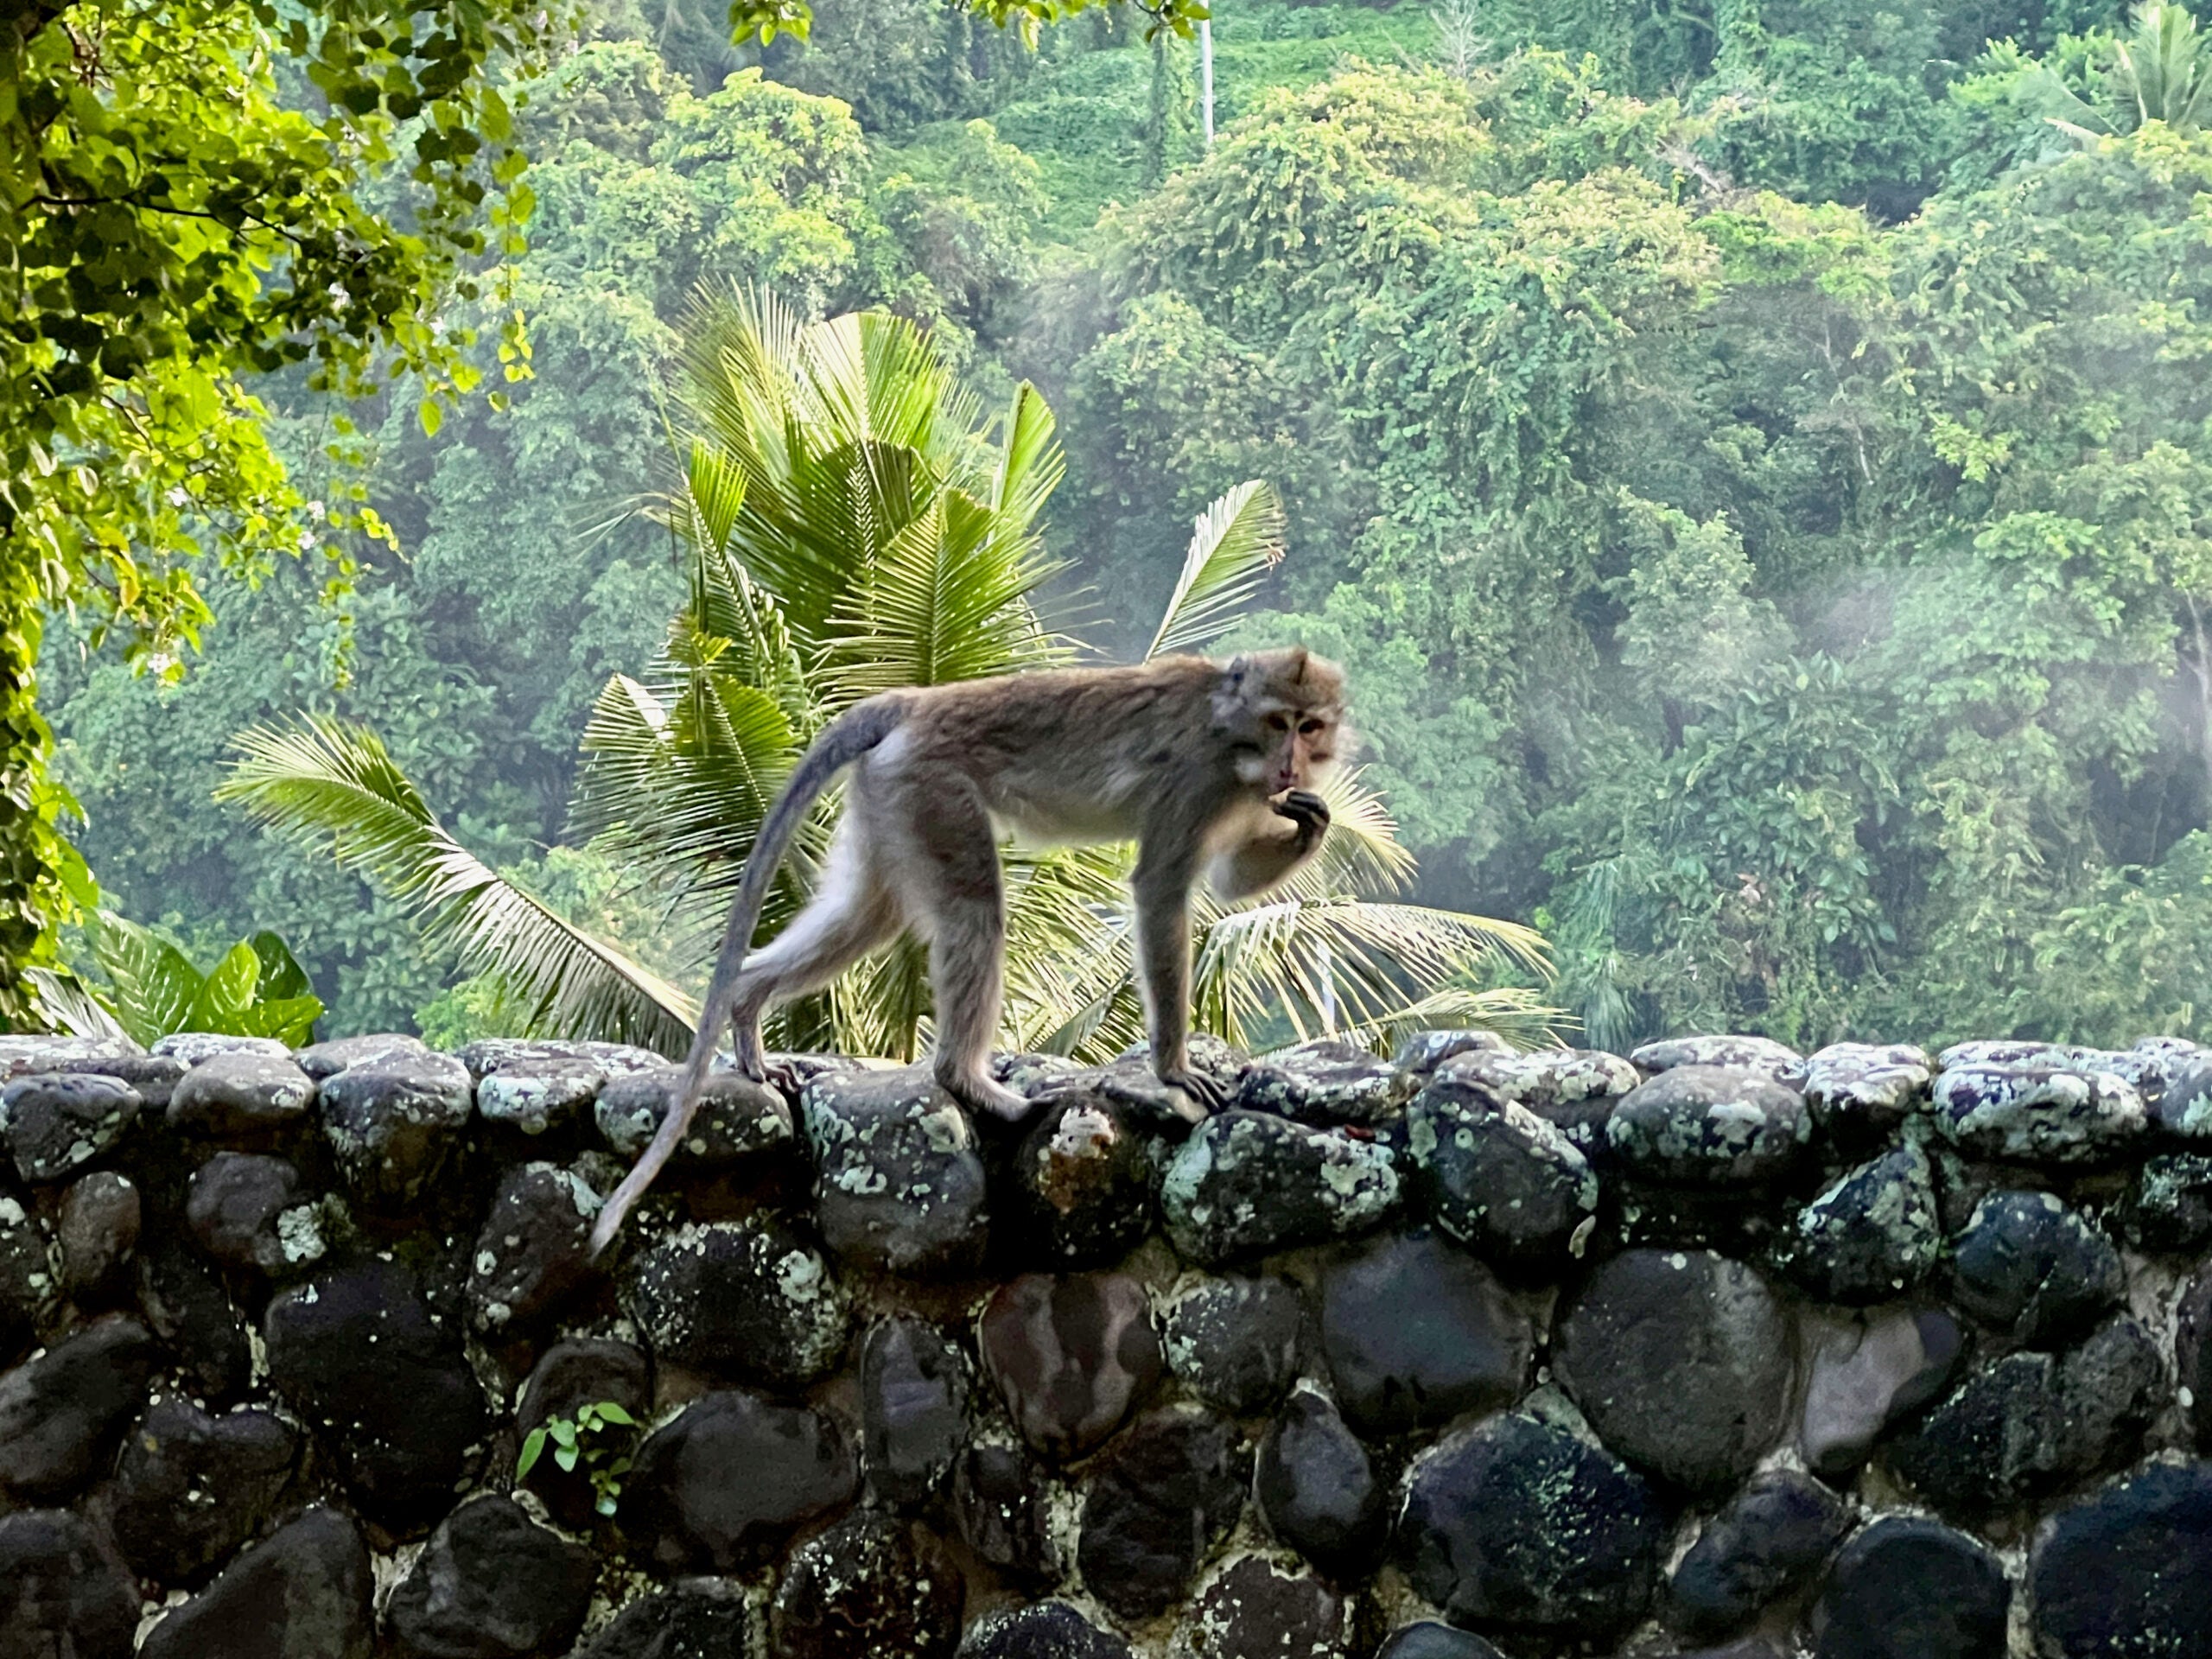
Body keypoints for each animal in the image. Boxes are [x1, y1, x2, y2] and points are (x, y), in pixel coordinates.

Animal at [588, 646, 1346, 1255]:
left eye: (1309, 726)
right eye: (1278, 721)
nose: (1292, 762)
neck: (1230, 733)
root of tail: (918, 701)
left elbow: (1228, 881)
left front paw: (1314, 823)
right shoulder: (1196, 780)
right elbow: (1162, 890)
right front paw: (1174, 1069)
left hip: (888, 796)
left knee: (870, 913)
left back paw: (747, 1006)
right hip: (930, 787)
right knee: (973, 910)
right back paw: (972, 1083)